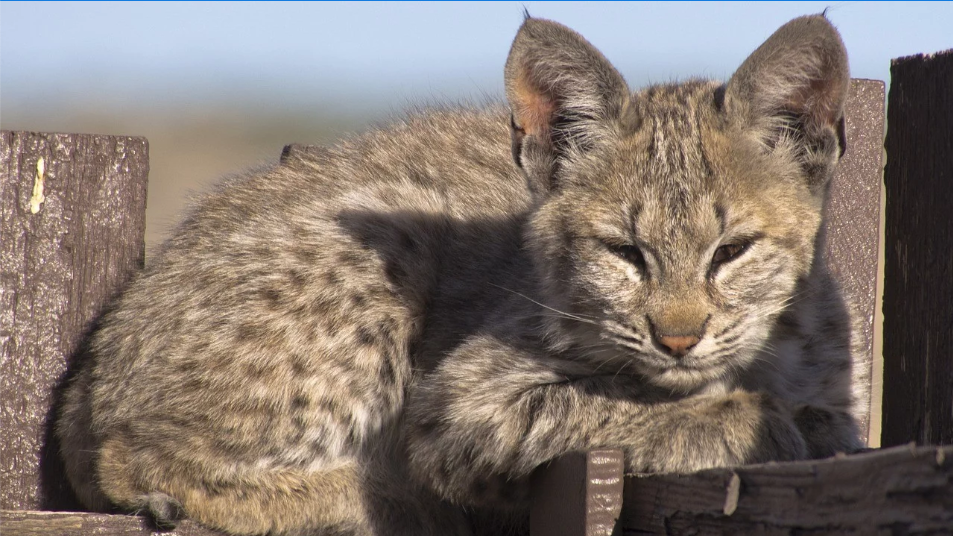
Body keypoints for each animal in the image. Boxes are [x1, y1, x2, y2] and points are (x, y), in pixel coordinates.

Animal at [57, 12, 864, 536]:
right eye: (622, 252)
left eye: (732, 251)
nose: (676, 340)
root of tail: (84, 379)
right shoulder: (458, 404)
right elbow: (603, 406)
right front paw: (760, 419)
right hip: (396, 240)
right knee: (133, 456)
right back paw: (386, 501)